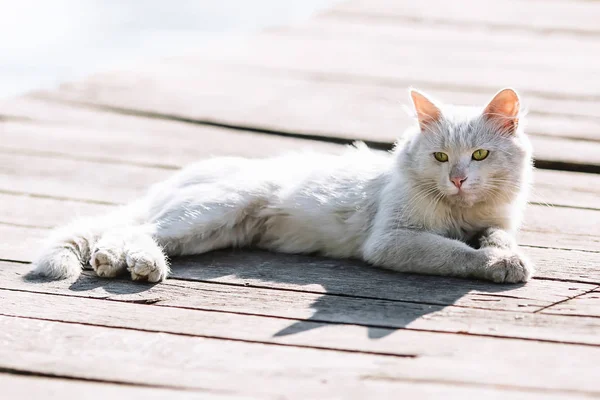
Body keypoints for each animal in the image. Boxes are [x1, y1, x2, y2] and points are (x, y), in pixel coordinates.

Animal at [34, 88, 536, 284]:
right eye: (440, 158)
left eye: (479, 156)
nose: (458, 179)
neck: (462, 211)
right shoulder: (392, 238)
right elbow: (453, 252)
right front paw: (495, 265)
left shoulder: (496, 219)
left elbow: (497, 236)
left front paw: (505, 255)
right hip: (215, 207)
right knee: (131, 230)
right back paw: (137, 265)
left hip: (217, 231)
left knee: (124, 233)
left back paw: (118, 263)